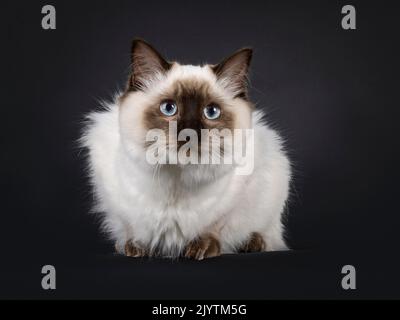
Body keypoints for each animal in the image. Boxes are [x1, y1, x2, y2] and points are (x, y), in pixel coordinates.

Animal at [80, 39, 290, 260]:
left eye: (211, 112)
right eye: (169, 108)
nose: (190, 134)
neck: (176, 181)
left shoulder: (239, 191)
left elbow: (214, 226)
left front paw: (201, 248)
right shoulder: (116, 197)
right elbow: (130, 226)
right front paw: (136, 248)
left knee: (265, 233)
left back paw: (253, 243)